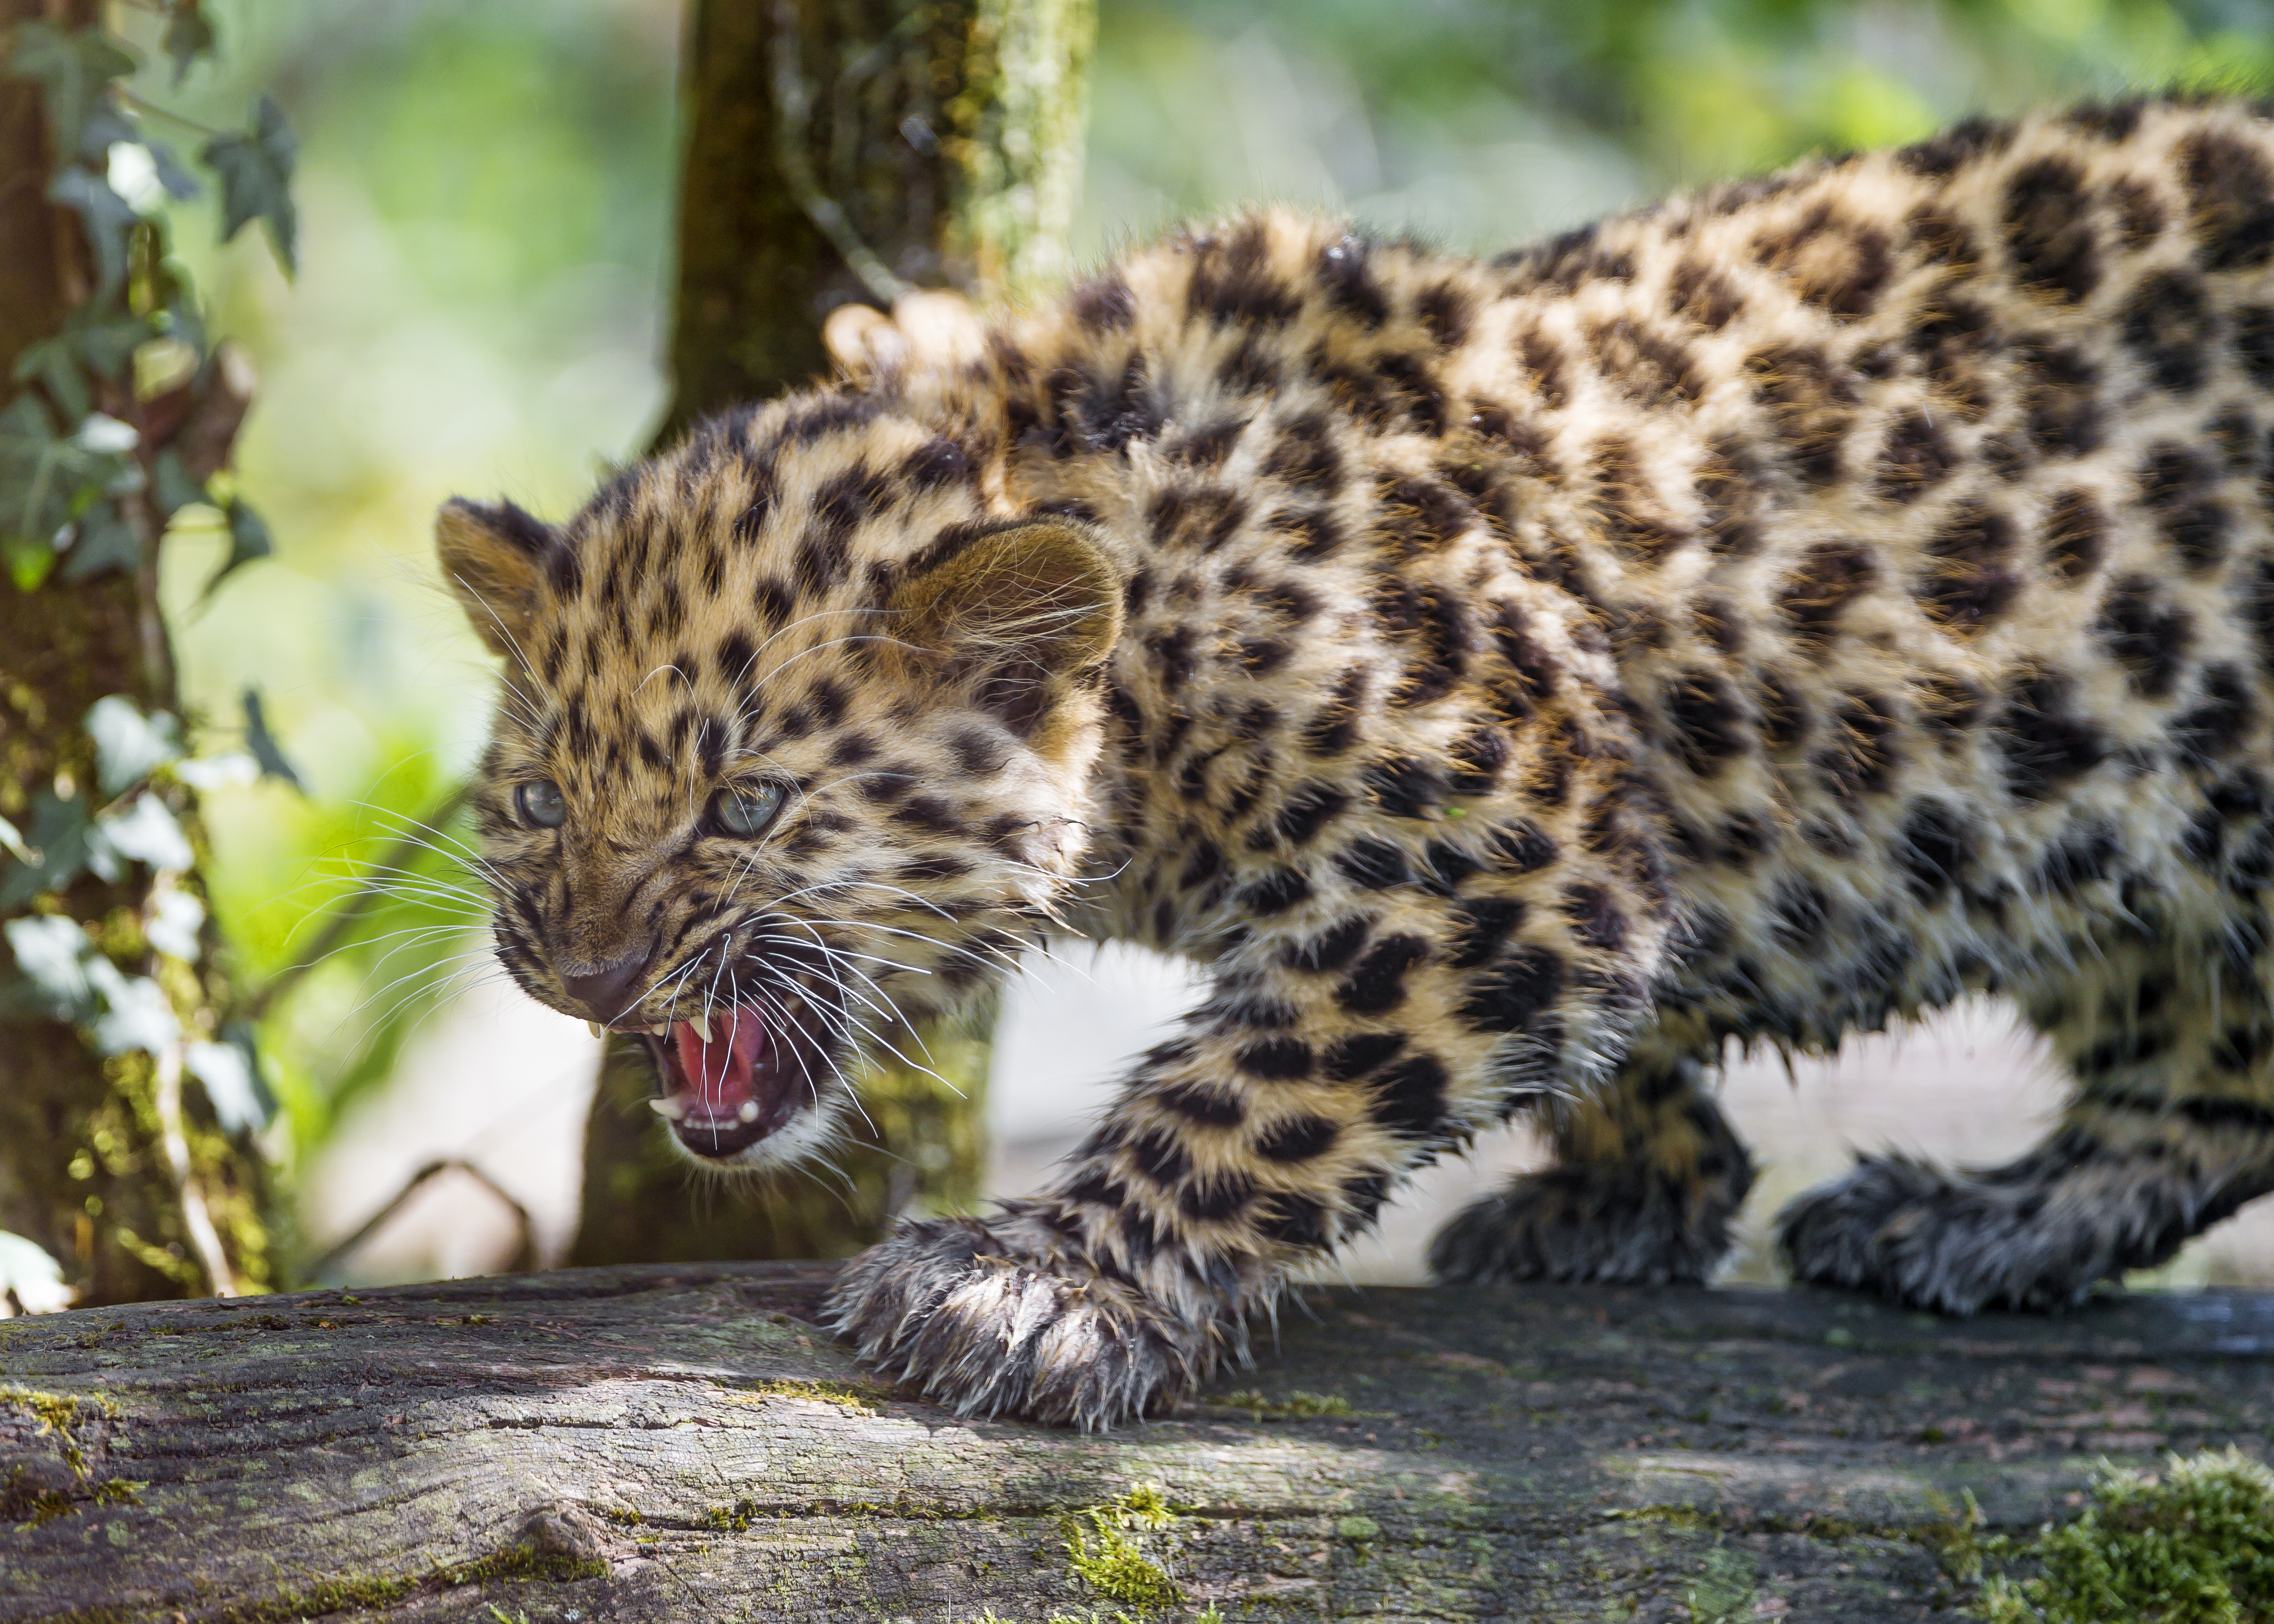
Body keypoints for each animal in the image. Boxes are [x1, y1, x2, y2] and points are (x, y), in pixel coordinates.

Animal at [439, 95, 2274, 1419]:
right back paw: (1978, 1219)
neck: (1158, 633)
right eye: (535, 799)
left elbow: (1256, 1087)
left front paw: (1035, 1284)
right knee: (2206, 1065)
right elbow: (1617, 1026)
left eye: (743, 804)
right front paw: (1641, 1191)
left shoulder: (1521, 848)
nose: (587, 978)